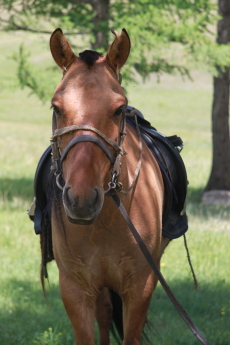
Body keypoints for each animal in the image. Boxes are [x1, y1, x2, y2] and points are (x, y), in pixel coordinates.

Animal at [48, 28, 170, 342]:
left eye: (119, 109)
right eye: (56, 107)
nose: (81, 200)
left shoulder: (140, 287)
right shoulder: (74, 289)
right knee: (103, 314)